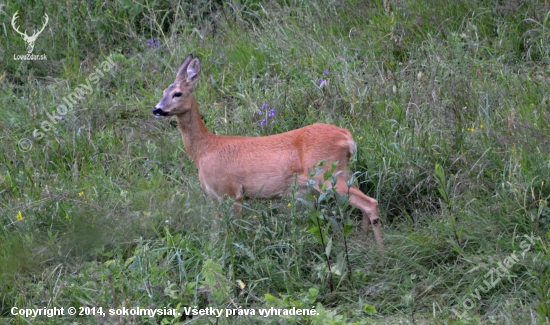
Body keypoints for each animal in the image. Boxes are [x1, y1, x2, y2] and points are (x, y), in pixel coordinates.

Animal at [151, 54, 384, 249]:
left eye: (177, 93)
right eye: (163, 92)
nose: (157, 109)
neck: (205, 151)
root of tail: (347, 137)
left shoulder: (231, 192)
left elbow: (233, 229)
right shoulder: (214, 196)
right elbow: (215, 232)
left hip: (326, 173)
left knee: (370, 203)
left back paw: (380, 252)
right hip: (342, 171)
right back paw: (365, 243)